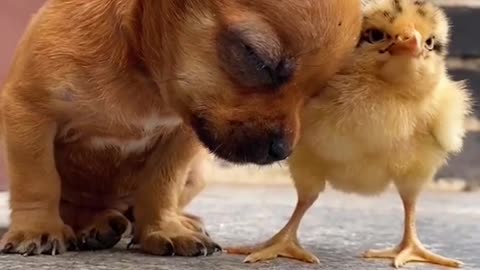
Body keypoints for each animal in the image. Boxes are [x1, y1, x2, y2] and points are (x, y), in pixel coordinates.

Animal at [0, 0, 360, 258]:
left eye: (317, 92)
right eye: (256, 57)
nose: (282, 151)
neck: (143, 78)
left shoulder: (182, 138)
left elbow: (161, 185)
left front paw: (164, 228)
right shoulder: (30, 113)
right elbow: (39, 181)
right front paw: (37, 229)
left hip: (199, 171)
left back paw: (176, 220)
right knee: (74, 204)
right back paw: (94, 224)